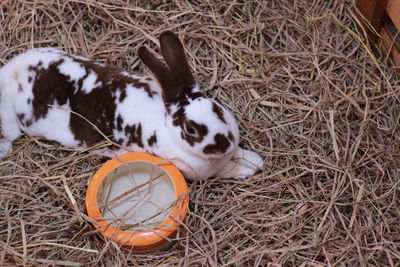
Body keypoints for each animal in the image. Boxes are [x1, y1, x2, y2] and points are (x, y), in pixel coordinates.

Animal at [0, 31, 262, 182]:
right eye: (191, 129)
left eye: (218, 110)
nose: (225, 144)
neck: (165, 125)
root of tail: (15, 71)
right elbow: (227, 171)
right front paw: (248, 170)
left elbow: (240, 155)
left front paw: (254, 160)